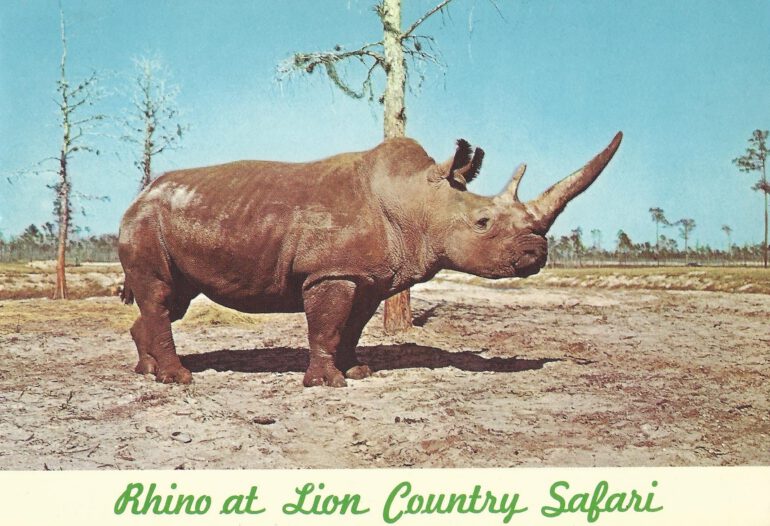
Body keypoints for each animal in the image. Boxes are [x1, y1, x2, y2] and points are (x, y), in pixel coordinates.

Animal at [118, 132, 622, 387]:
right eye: (483, 222)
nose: (538, 254)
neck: (418, 199)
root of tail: (138, 196)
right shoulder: (331, 272)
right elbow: (325, 326)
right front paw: (328, 384)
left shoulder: (370, 276)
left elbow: (351, 327)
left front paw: (357, 371)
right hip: (145, 223)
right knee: (161, 296)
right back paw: (179, 379)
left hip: (172, 219)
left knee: (173, 300)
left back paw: (148, 372)